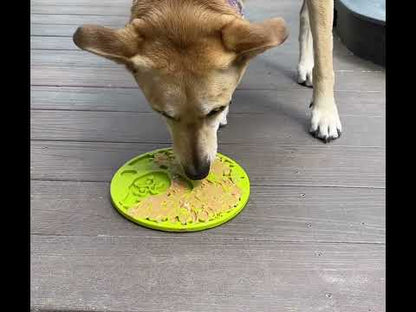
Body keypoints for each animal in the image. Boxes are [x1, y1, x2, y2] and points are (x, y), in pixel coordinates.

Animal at [73, 0, 342, 180]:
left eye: (215, 109)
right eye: (164, 114)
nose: (198, 173)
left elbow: (325, 57)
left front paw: (325, 114)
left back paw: (307, 67)